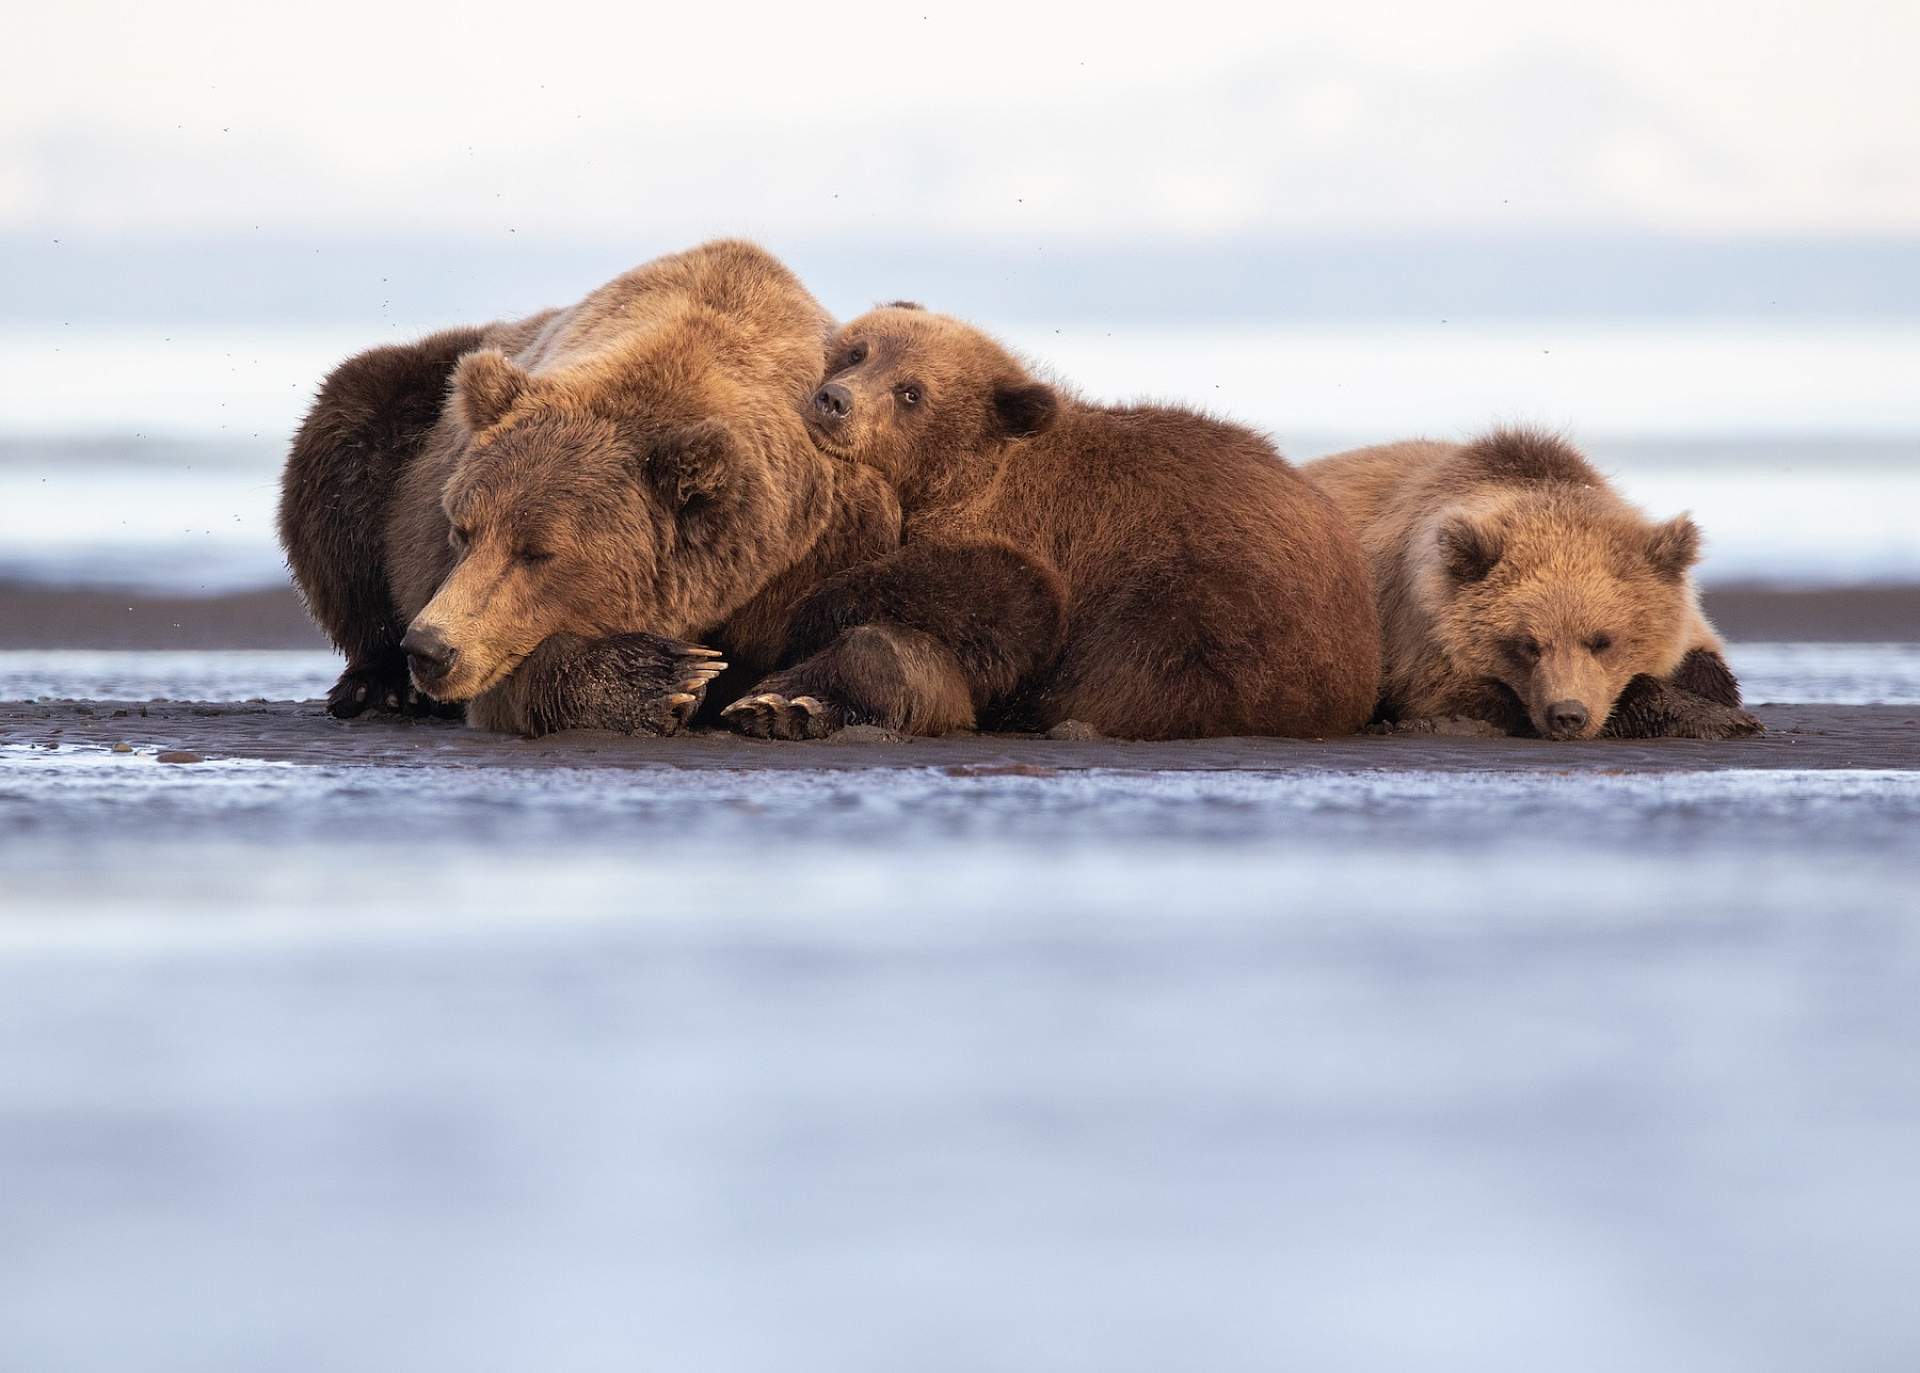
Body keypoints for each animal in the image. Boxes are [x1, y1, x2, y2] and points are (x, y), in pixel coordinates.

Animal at [276, 241, 898, 737]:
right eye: (462, 529)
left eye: (537, 552)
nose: (430, 648)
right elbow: (512, 676)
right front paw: (667, 676)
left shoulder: (826, 537)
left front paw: (787, 698)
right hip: (414, 402)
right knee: (344, 437)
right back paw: (379, 686)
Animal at [714, 307, 1374, 745]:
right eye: (859, 351)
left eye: (911, 392)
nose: (834, 400)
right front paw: (780, 694)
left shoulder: (1039, 537)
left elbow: (1007, 603)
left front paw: (798, 666)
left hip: (1213, 608)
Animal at [1305, 435, 1758, 745]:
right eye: (1527, 644)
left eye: (1603, 641)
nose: (1568, 715)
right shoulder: (1419, 633)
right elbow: (1458, 695)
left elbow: (1708, 673)